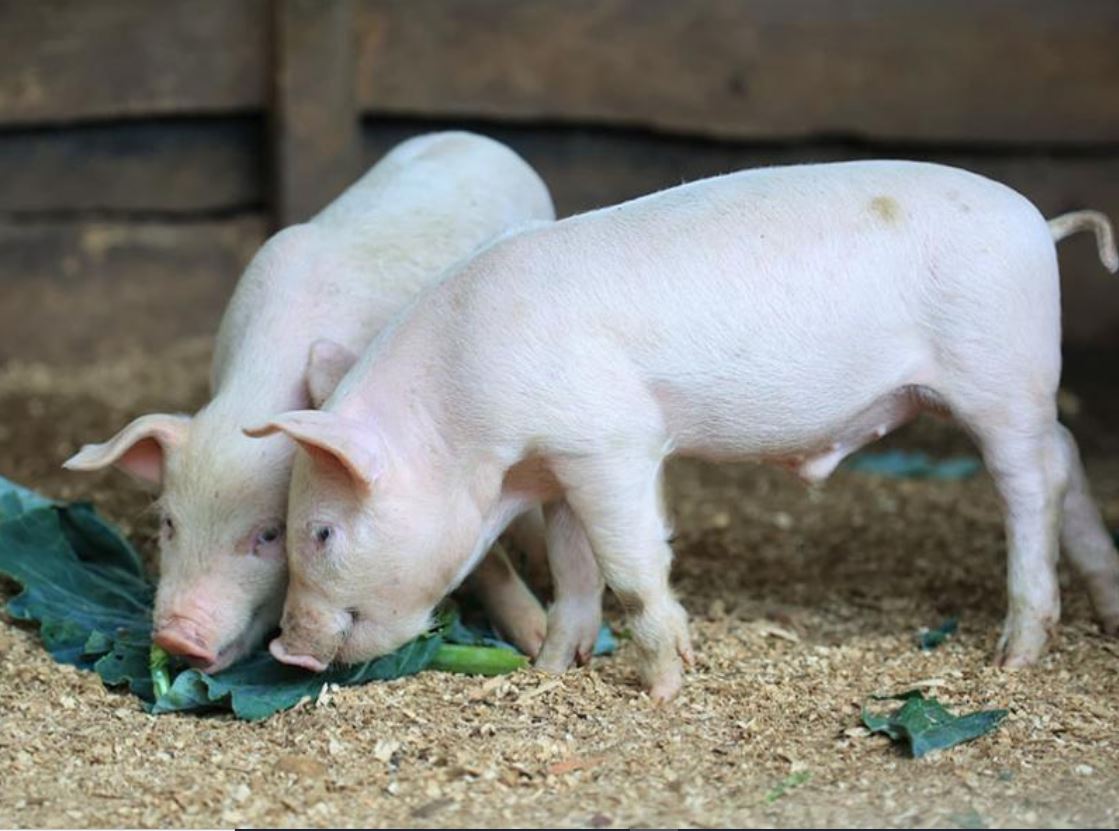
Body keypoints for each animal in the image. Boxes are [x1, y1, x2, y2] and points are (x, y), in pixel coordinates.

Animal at [248, 160, 1119, 700]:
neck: (467, 427)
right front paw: (550, 671)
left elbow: (632, 563)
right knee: (1067, 456)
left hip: (997, 377)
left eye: (320, 531)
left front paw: (664, 689)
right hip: (1015, 390)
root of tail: (1041, 225)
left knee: (1030, 483)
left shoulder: (609, 442)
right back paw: (1106, 611)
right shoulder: (558, 468)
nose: (286, 646)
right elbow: (572, 570)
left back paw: (1013, 656)